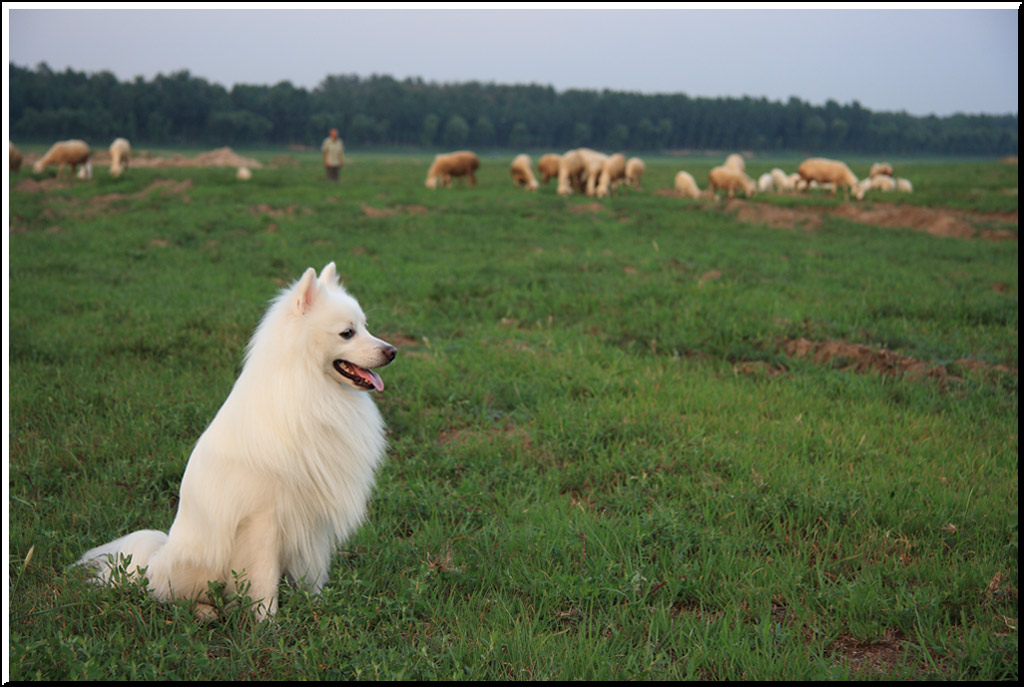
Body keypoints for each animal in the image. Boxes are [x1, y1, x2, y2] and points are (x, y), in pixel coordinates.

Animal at [74, 262, 395, 618]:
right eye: (347, 333)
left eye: (365, 327)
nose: (392, 351)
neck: (309, 390)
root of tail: (154, 559)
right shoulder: (264, 521)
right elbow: (264, 580)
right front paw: (268, 623)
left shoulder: (313, 521)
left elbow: (312, 573)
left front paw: (316, 608)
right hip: (194, 564)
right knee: (166, 595)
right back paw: (205, 611)